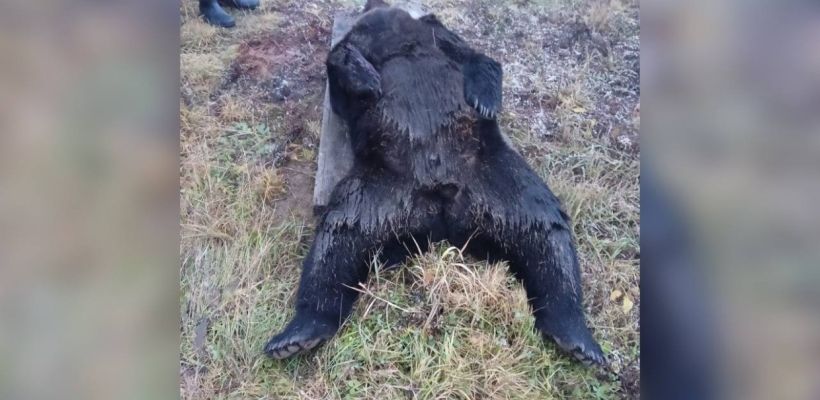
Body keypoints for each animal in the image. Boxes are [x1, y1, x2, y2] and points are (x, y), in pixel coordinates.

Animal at [263, 0, 605, 366]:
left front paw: (485, 99)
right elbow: (341, 71)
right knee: (337, 238)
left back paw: (579, 338)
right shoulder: (352, 56)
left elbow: (475, 56)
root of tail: (441, 206)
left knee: (545, 229)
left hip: (499, 178)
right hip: (375, 190)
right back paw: (296, 334)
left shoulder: (436, 33)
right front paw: (366, 77)